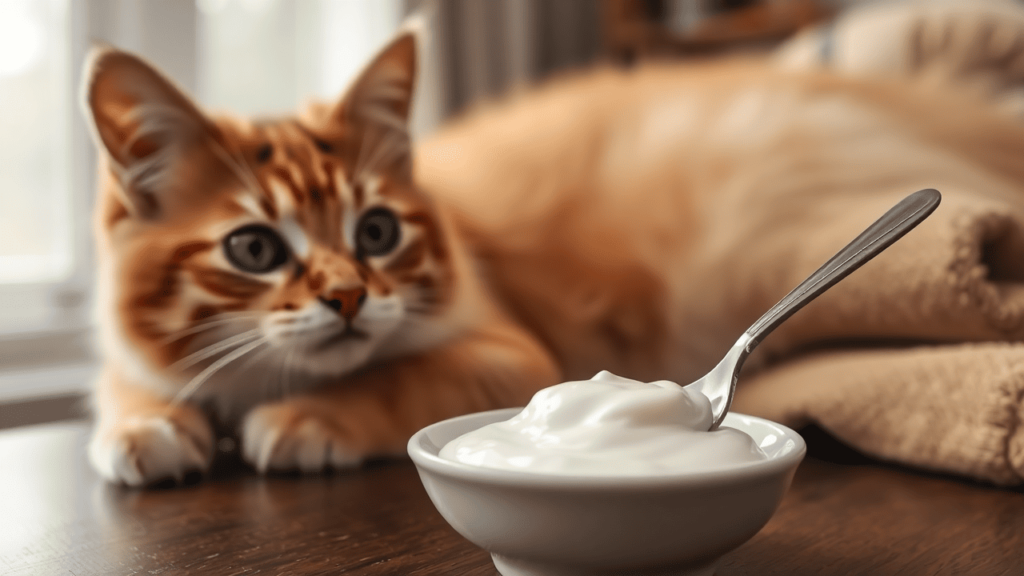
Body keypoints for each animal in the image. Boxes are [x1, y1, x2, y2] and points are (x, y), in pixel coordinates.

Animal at [83, 22, 1024, 481]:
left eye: (377, 232)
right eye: (253, 248)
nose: (348, 298)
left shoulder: (508, 350)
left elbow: (392, 375)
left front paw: (306, 419)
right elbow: (131, 384)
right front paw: (144, 428)